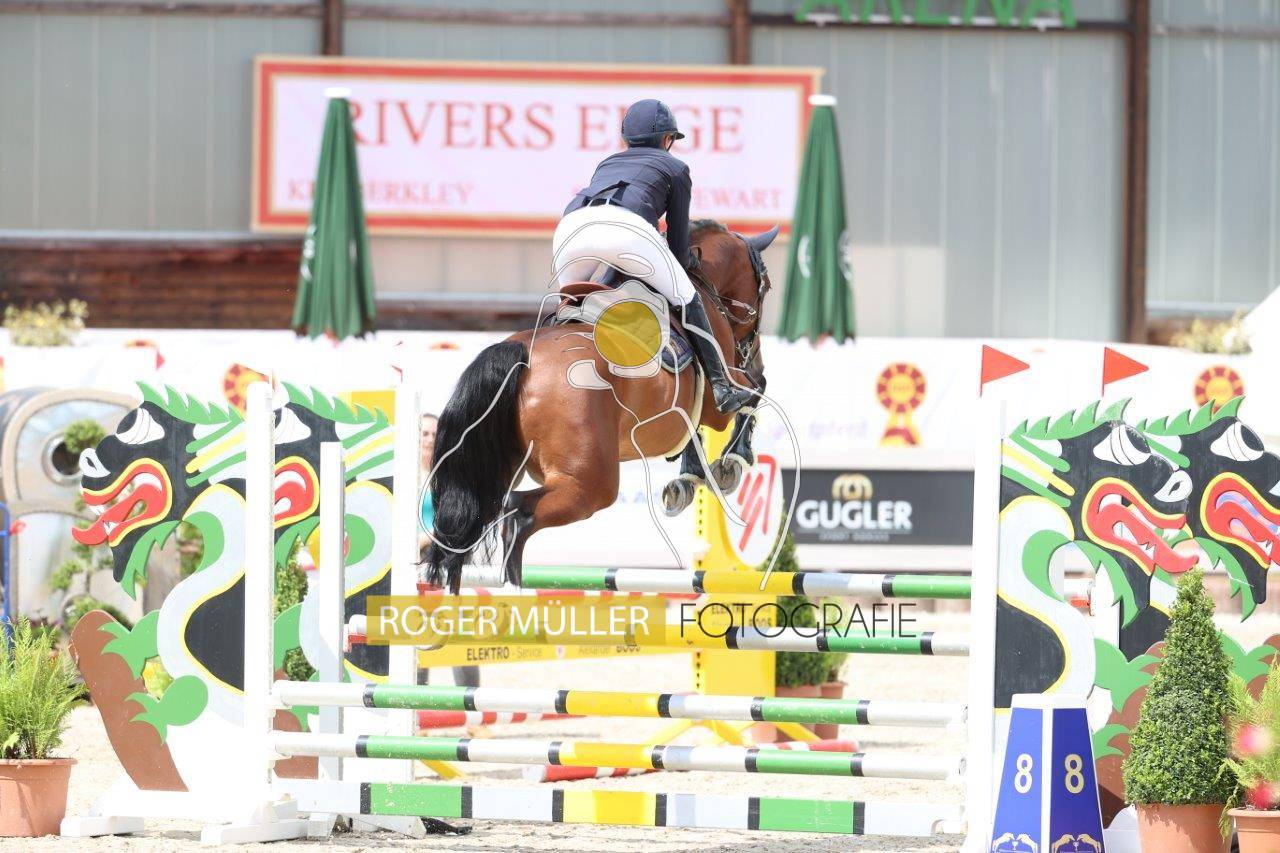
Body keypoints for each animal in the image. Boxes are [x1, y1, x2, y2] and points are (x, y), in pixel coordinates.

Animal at [424, 219, 778, 592]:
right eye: (766, 286)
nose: (755, 357)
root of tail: (523, 356)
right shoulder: (720, 399)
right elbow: (754, 393)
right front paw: (731, 464)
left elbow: (699, 427)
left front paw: (687, 482)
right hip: (589, 485)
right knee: (517, 513)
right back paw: (514, 591)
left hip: (495, 468)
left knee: (469, 523)